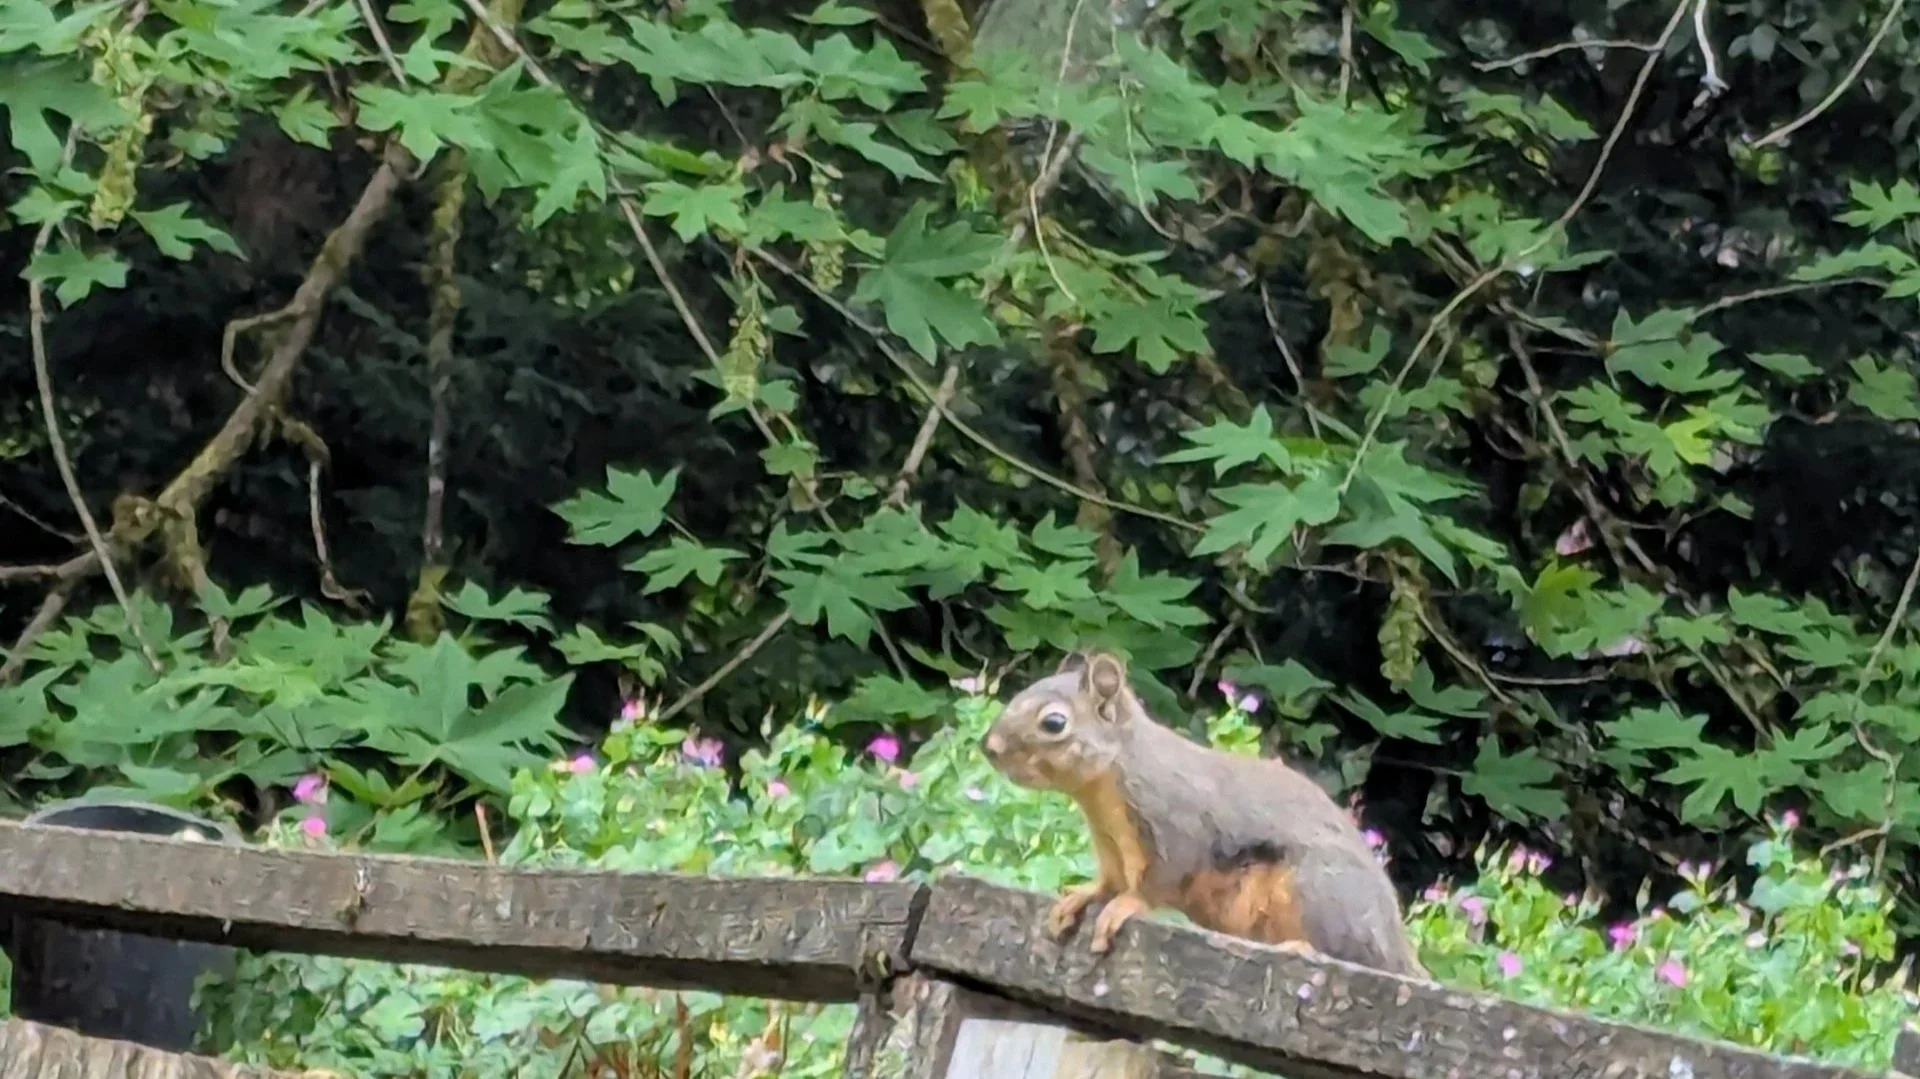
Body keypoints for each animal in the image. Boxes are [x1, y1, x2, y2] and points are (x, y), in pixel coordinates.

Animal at [980, 649, 1428, 979]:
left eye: (1054, 722)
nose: (990, 747)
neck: (1108, 783)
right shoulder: (1111, 847)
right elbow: (1109, 882)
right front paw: (1083, 895)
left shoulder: (1173, 824)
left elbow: (1157, 883)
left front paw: (1126, 906)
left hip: (1319, 892)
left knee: (1352, 954)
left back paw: (1302, 949)